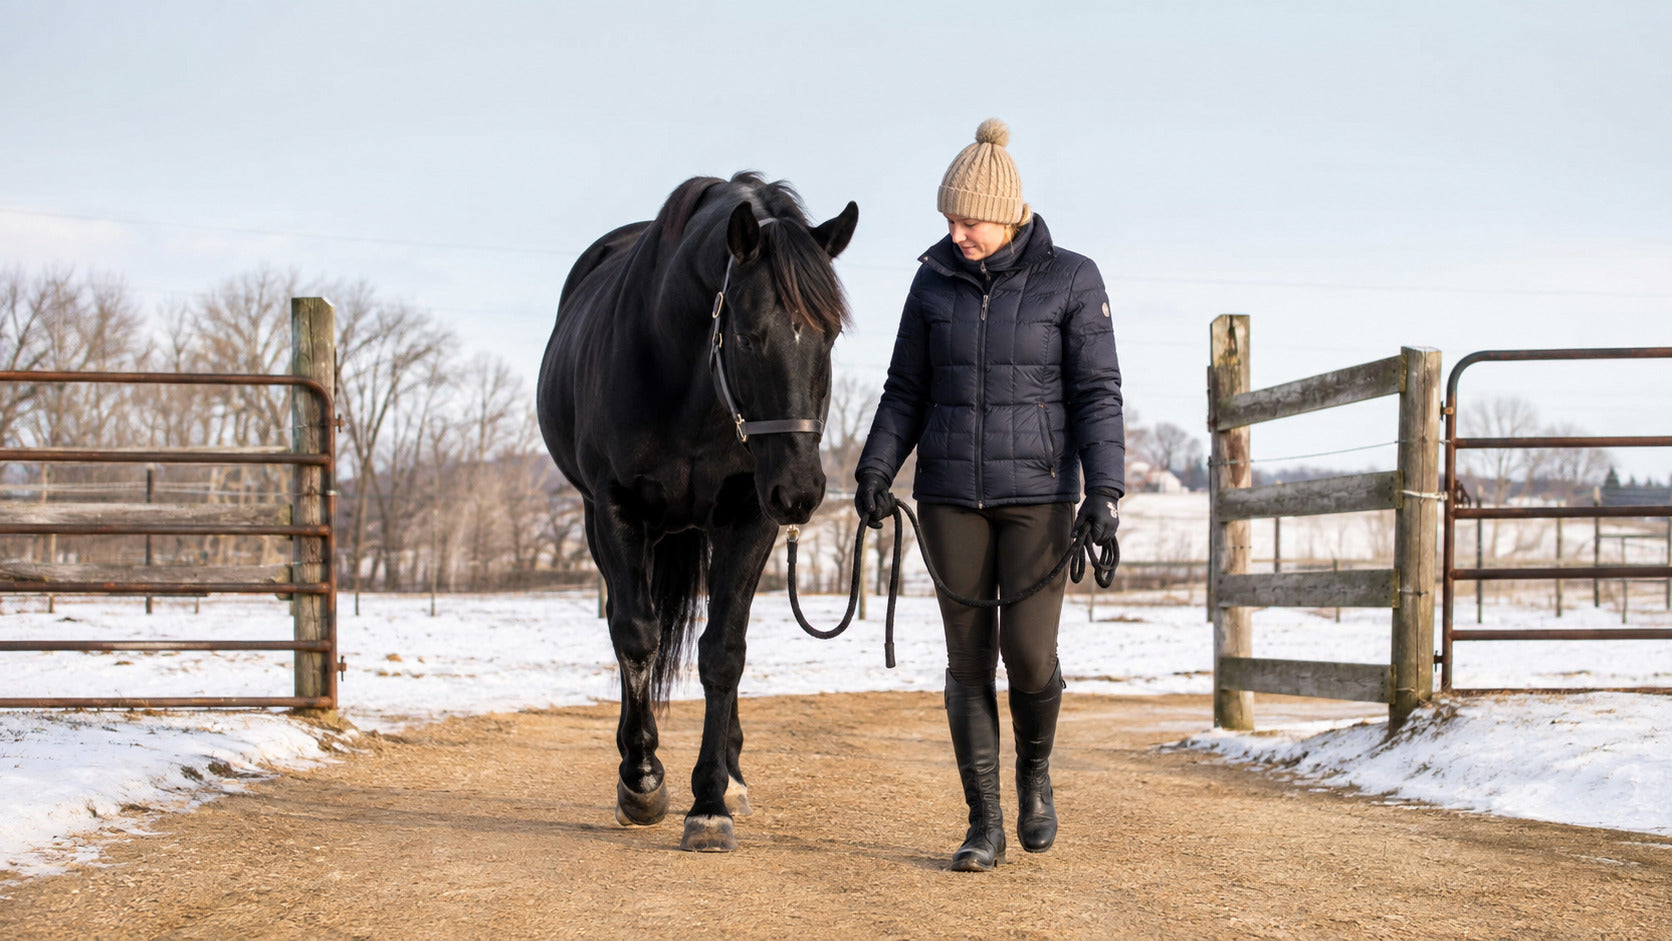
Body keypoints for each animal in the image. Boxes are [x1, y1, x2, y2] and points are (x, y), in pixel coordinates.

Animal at [537, 172, 858, 852]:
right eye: (746, 334)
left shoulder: (748, 518)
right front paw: (642, 780)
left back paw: (732, 775)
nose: (800, 490)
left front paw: (710, 800)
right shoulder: (615, 510)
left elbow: (724, 652)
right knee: (627, 626)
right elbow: (637, 636)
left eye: (830, 335)